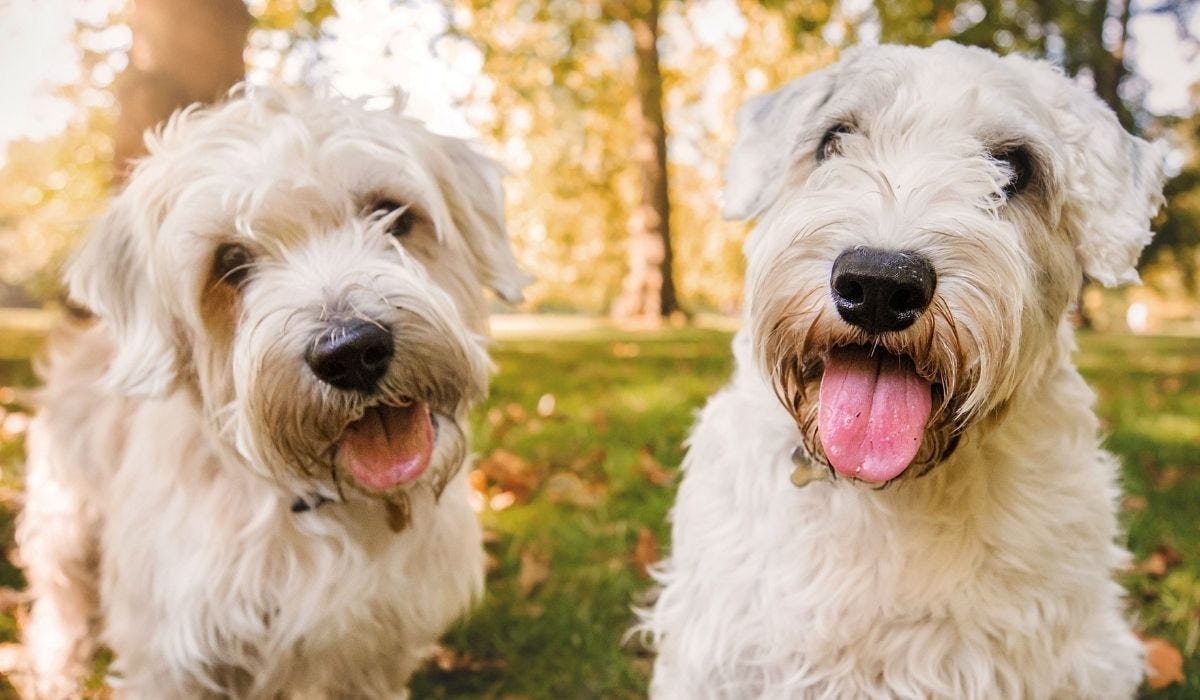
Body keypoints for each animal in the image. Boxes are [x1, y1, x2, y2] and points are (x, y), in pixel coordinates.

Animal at [16, 90, 525, 696]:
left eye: (393, 215)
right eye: (230, 261)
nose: (350, 351)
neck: (320, 503)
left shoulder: (371, 653)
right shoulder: (169, 650)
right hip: (64, 526)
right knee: (60, 607)